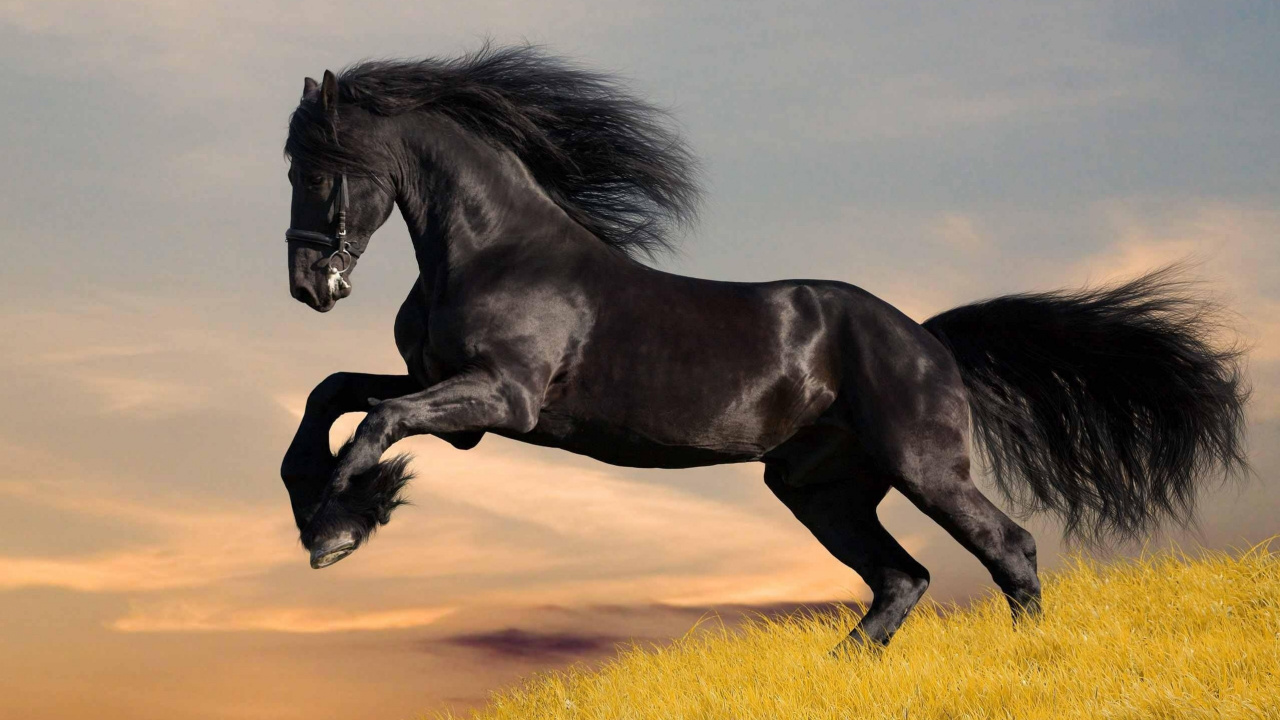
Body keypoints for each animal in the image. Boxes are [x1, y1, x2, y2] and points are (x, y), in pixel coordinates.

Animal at [279, 46, 1248, 649]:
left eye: (318, 168)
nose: (308, 286)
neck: (495, 249)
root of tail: (927, 339)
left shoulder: (500, 400)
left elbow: (375, 424)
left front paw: (339, 527)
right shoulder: (451, 395)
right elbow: (333, 394)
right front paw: (325, 508)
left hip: (923, 466)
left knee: (1008, 549)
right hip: (820, 488)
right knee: (902, 578)